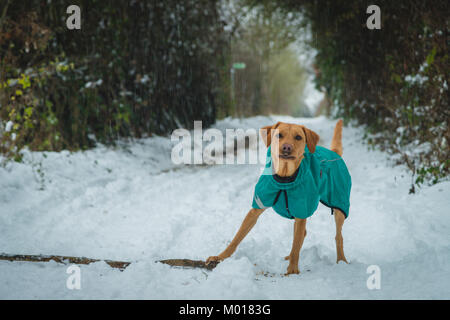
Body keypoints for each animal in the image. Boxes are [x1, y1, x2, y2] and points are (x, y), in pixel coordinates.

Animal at [207, 120, 352, 276]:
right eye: (279, 135)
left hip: (339, 204)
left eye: (298, 137)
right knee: (302, 235)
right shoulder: (255, 209)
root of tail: (334, 152)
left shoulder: (301, 211)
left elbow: (297, 244)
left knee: (337, 236)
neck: (284, 178)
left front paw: (293, 270)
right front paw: (220, 257)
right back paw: (289, 255)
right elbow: (237, 238)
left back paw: (341, 260)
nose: (286, 147)